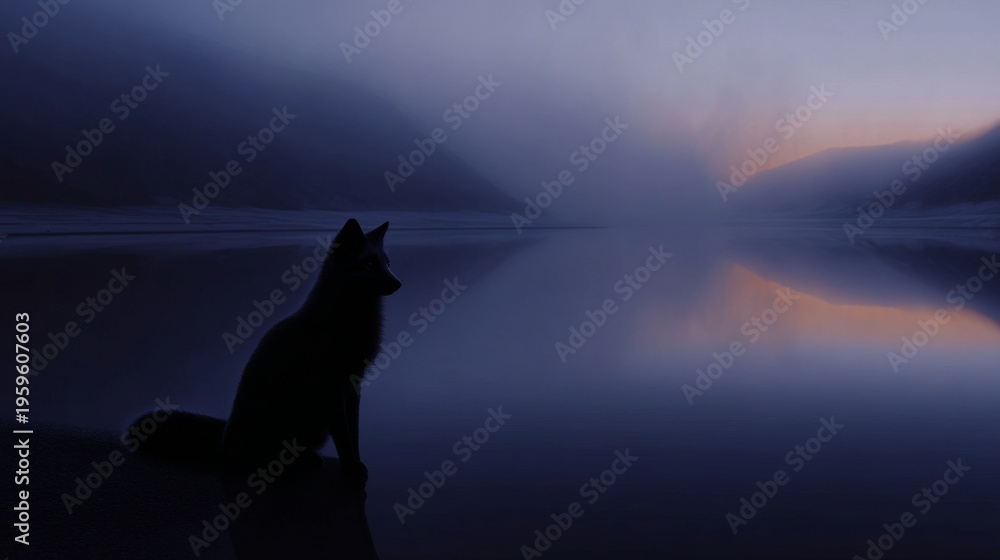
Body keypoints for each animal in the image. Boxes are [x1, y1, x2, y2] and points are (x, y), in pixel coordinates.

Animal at [129, 219, 401, 482]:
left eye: (387, 264)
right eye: (368, 264)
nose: (398, 283)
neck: (350, 319)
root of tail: (222, 440)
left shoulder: (353, 386)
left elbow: (353, 433)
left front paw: (357, 463)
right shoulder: (333, 389)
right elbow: (344, 437)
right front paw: (350, 468)